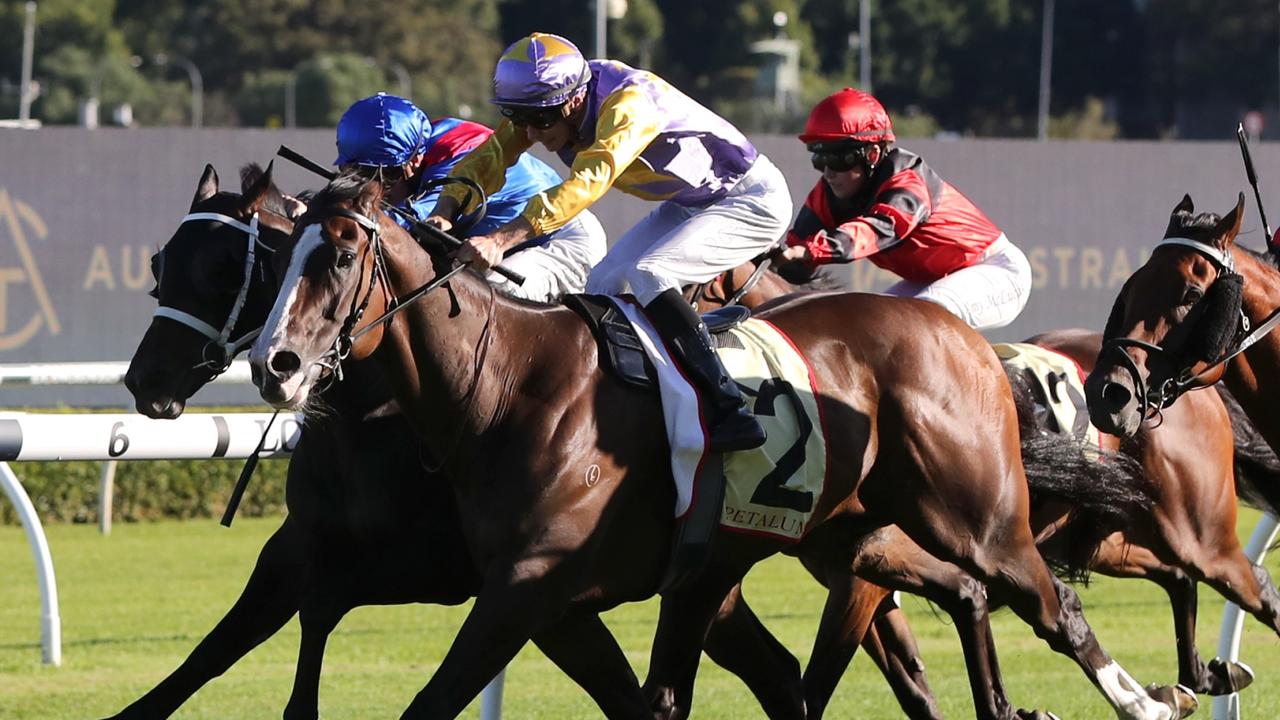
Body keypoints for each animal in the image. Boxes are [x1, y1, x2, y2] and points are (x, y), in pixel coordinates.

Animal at [249, 174, 1187, 717]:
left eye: (338, 256)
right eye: (280, 255)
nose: (274, 364)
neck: (512, 385)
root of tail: (960, 334)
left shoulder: (525, 591)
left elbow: (431, 702)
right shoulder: (566, 603)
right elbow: (654, 701)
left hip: (975, 516)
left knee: (1051, 607)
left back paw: (1154, 700)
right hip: (831, 537)